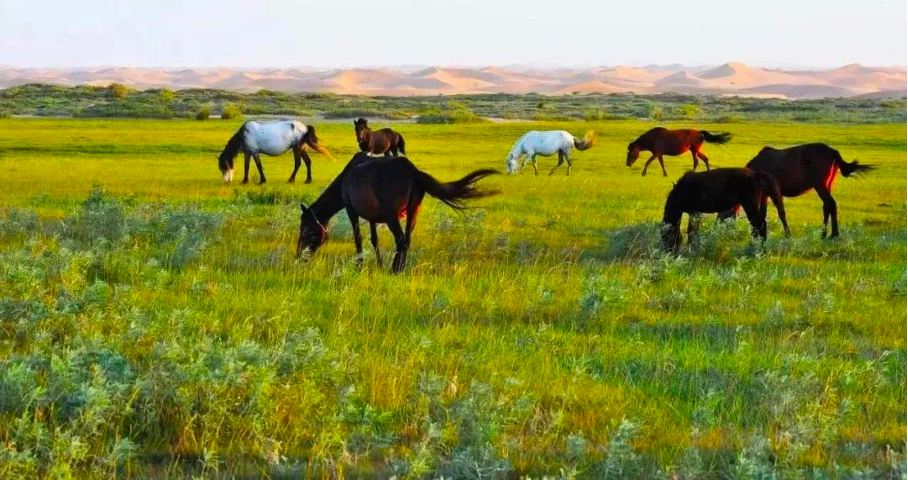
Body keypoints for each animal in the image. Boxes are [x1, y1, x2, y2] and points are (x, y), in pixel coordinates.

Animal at [296, 154, 496, 274]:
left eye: (306, 230)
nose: (299, 256)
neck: (346, 178)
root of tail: (414, 172)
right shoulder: (372, 217)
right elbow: (374, 239)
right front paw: (378, 264)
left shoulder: (352, 210)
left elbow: (358, 238)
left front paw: (359, 265)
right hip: (413, 212)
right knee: (406, 239)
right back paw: (400, 268)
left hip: (392, 216)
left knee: (400, 239)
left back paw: (395, 269)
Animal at [660, 168, 788, 253]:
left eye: (665, 236)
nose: (669, 252)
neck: (682, 190)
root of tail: (756, 175)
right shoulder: (695, 213)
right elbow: (693, 230)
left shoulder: (694, 212)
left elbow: (691, 231)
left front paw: (692, 249)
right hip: (761, 203)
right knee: (758, 227)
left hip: (750, 204)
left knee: (759, 225)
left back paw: (758, 250)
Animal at [716, 143, 872, 239]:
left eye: (722, 211)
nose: (717, 225)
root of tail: (833, 152)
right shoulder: (765, 194)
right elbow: (763, 213)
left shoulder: (774, 192)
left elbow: (781, 213)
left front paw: (787, 234)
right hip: (827, 185)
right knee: (827, 206)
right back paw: (823, 234)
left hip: (820, 185)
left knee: (831, 204)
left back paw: (833, 234)